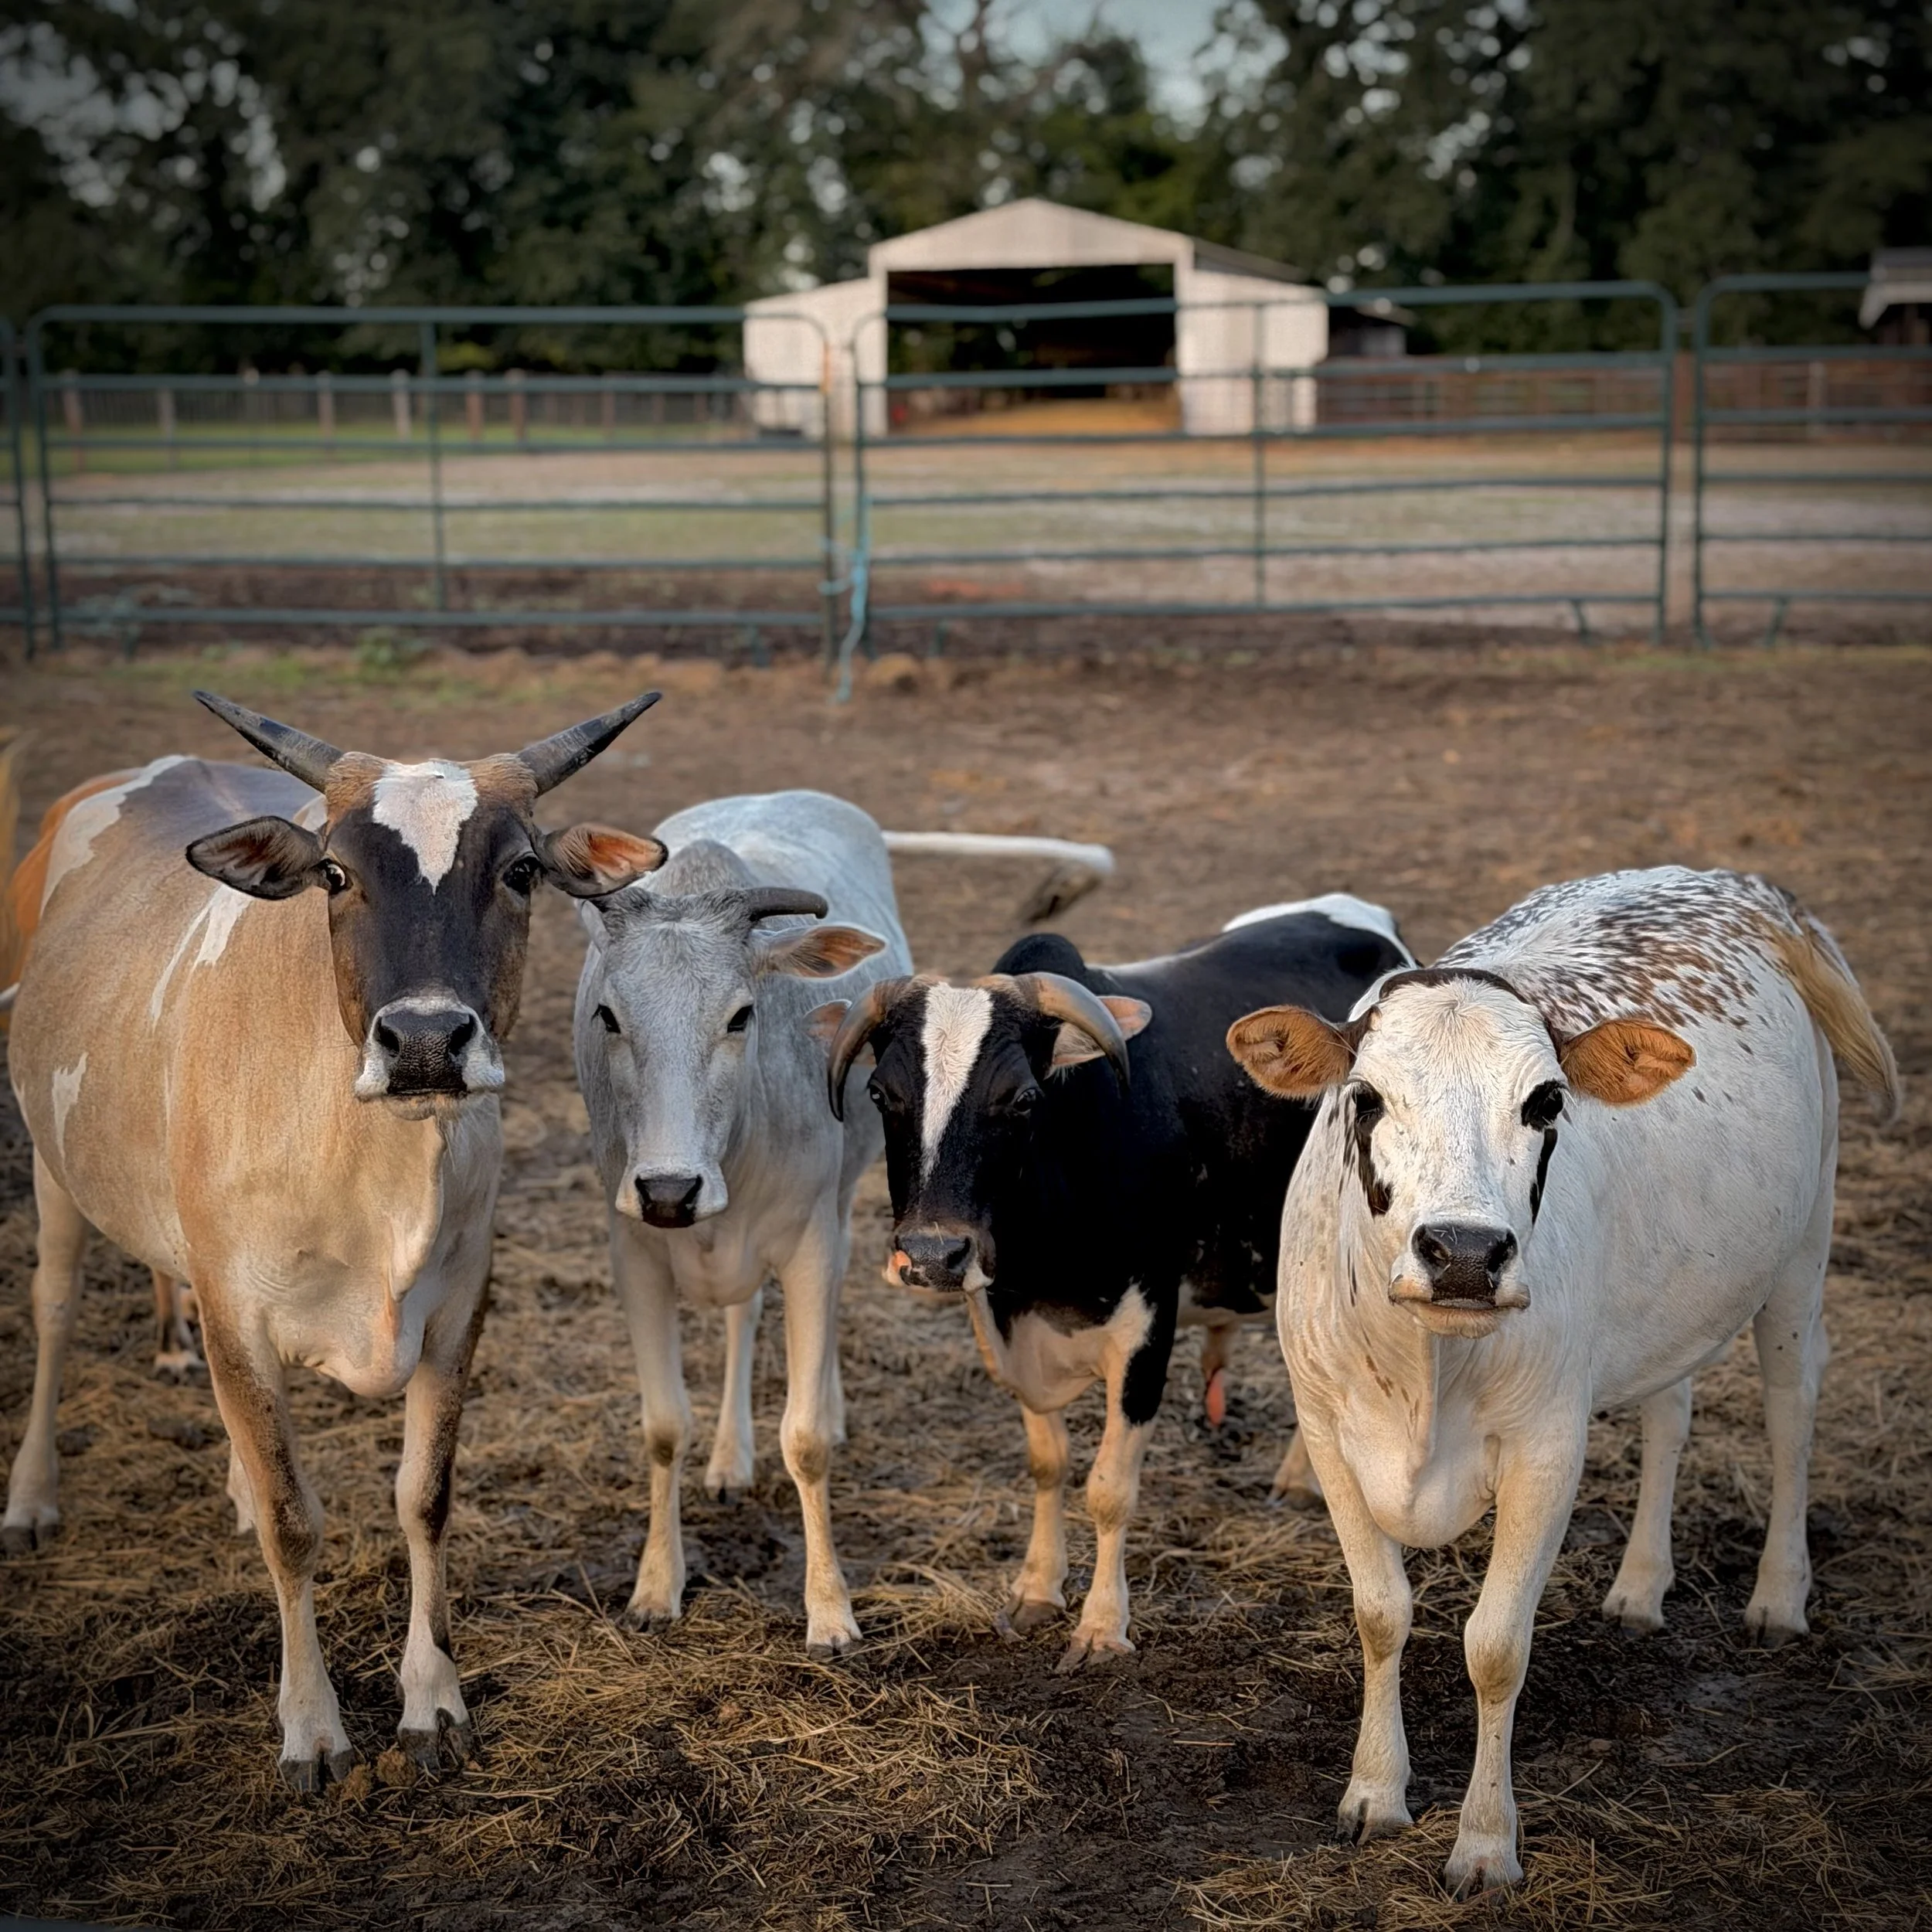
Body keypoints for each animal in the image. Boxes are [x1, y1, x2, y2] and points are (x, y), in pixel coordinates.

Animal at [2, 691, 665, 1789]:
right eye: (336, 874)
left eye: (521, 870)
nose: (428, 1042)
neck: (374, 1166)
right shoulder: (237, 1312)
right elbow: (293, 1521)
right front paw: (311, 1726)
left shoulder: (458, 1308)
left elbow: (422, 1498)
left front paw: (432, 1702)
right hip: (54, 1168)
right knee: (53, 1313)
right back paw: (31, 1497)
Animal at [817, 897, 1412, 1670]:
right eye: (880, 1093)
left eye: (1022, 1098)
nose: (932, 1253)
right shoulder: (1005, 1325)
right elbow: (1049, 1465)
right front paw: (1038, 1589)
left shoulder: (1145, 1334)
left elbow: (1108, 1489)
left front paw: (1102, 1625)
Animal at [1225, 867, 1899, 1895]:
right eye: (1365, 1098)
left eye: (1545, 1101)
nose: (1464, 1251)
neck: (1426, 1368)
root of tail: (1731, 884)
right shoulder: (1327, 1433)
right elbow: (1381, 1614)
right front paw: (1375, 1791)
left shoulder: (1547, 1447)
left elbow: (1495, 1646)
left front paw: (1483, 1841)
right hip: (1671, 1298)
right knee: (1669, 1410)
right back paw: (1640, 1586)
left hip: (1801, 1250)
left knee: (1791, 1409)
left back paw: (1780, 1595)